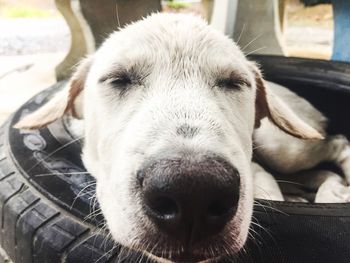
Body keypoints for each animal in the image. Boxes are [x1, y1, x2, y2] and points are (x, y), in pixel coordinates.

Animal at [13, 13, 350, 263]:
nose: (193, 192)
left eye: (235, 82)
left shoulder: (259, 171)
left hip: (282, 146)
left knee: (336, 143)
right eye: (118, 79)